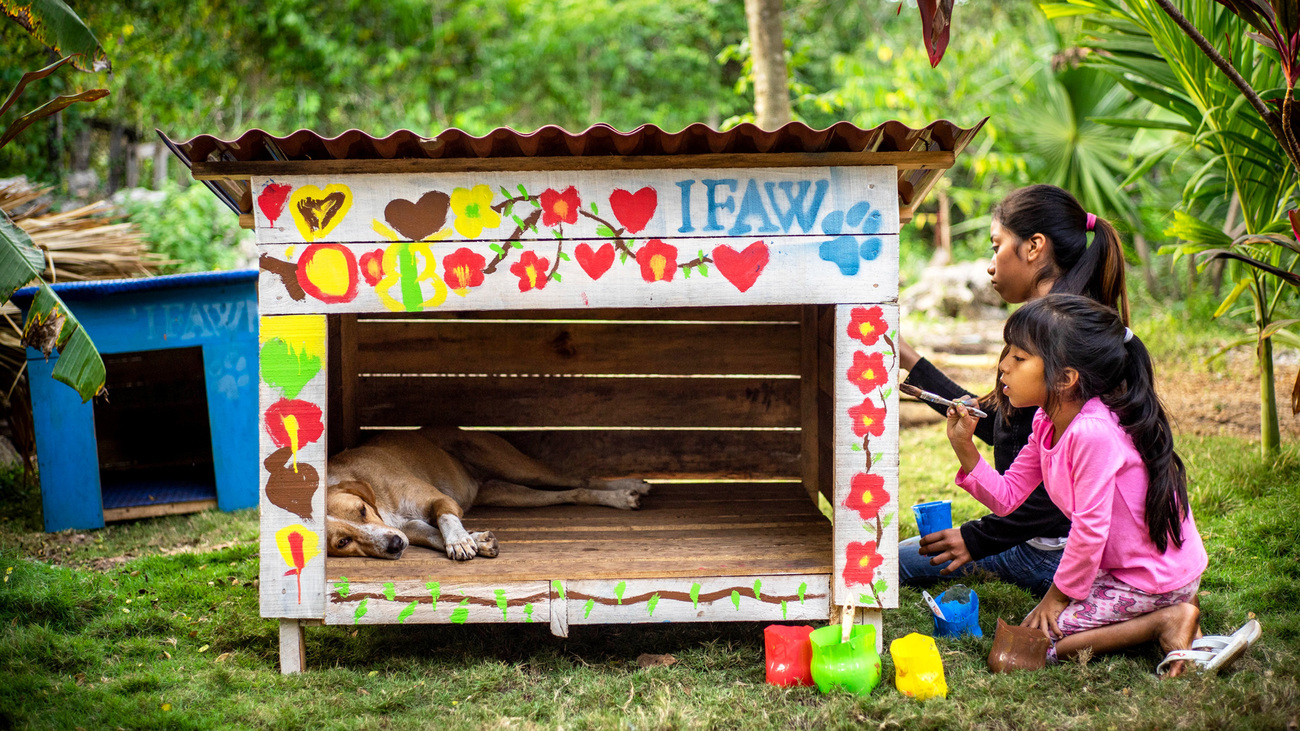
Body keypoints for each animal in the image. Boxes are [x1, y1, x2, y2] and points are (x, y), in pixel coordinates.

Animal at [325, 426, 650, 556]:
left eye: (362, 510)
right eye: (342, 542)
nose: (394, 545)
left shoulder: (440, 500)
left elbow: (445, 519)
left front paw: (459, 540)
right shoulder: (407, 528)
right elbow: (431, 534)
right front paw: (477, 540)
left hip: (517, 466)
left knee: (579, 477)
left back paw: (627, 490)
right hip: (510, 493)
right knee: (572, 493)